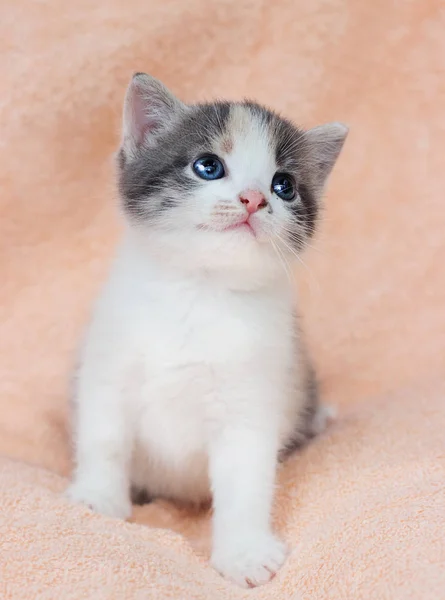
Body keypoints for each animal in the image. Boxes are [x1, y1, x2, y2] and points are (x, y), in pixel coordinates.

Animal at [66, 72, 346, 588]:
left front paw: (244, 553)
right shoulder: (108, 364)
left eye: (284, 185)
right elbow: (104, 436)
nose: (254, 198)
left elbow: (246, 481)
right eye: (208, 166)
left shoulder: (253, 398)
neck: (200, 293)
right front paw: (99, 496)